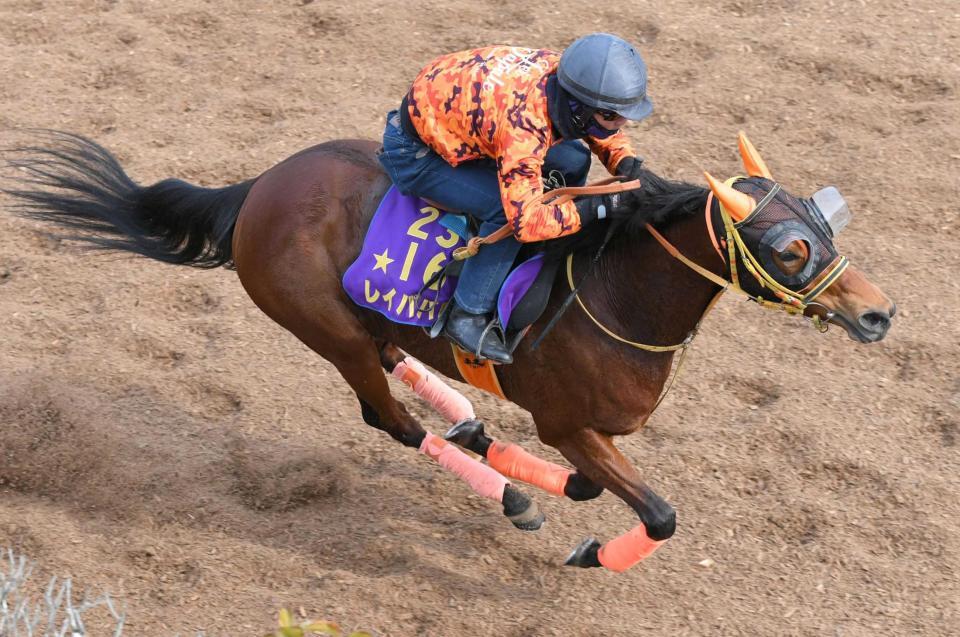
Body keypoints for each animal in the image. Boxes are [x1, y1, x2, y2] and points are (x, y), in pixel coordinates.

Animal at [3, 130, 896, 572]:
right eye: (789, 249)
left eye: (824, 221)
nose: (879, 313)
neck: (616, 290)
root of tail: (258, 187)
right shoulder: (569, 424)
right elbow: (657, 513)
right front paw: (587, 548)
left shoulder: (585, 432)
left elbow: (587, 483)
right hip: (322, 328)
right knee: (387, 418)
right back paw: (506, 492)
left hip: (367, 321)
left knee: (401, 366)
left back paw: (474, 426)